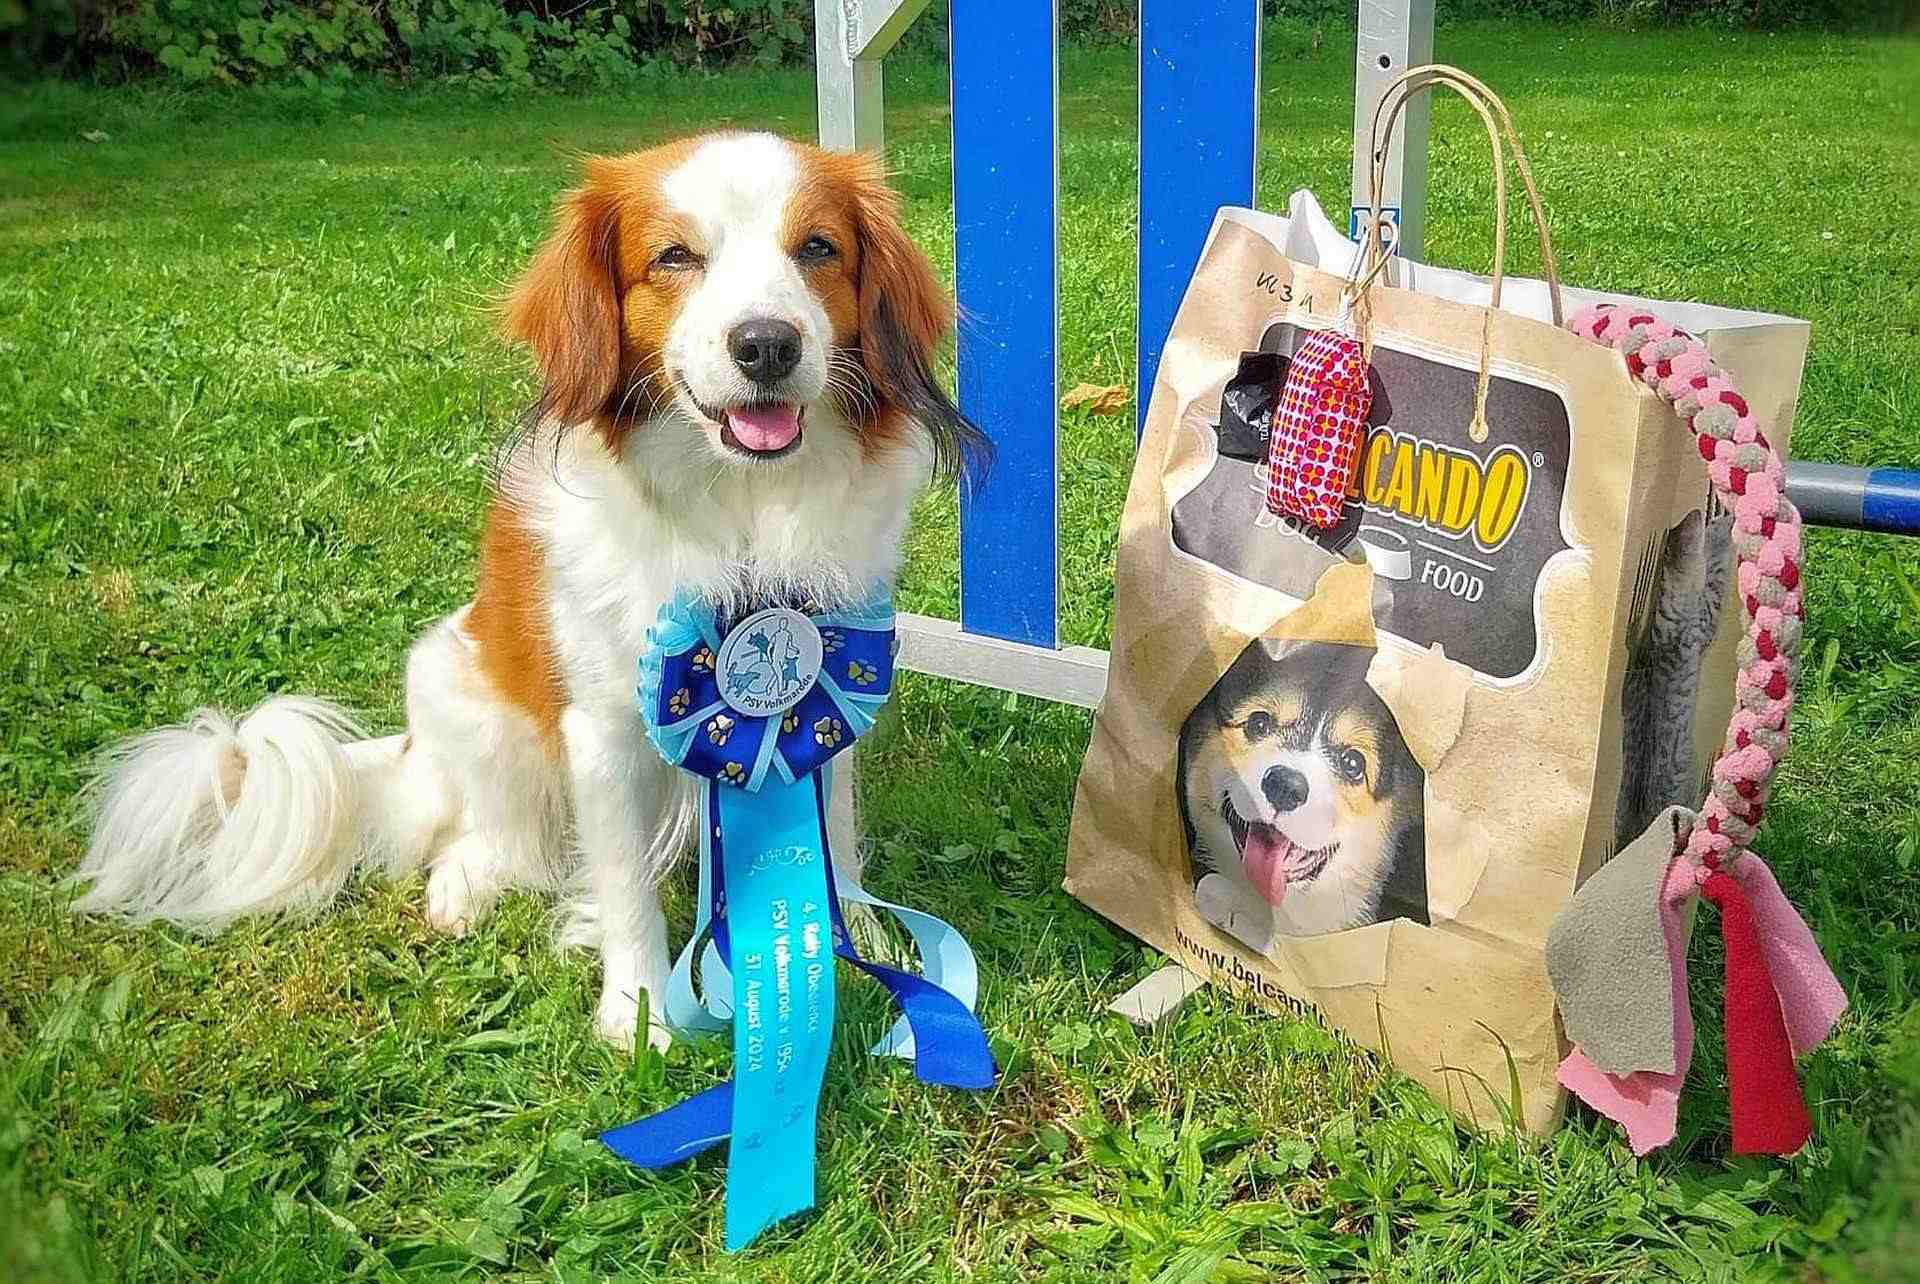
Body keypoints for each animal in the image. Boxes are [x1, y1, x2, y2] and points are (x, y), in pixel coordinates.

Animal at [69, 130, 983, 1051]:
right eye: (674, 257)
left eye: (818, 249)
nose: (767, 344)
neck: (739, 513)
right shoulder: (603, 730)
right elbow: (623, 886)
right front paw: (638, 1014)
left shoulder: (826, 700)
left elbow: (836, 836)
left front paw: (852, 939)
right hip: (457, 684)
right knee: (492, 834)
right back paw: (465, 885)